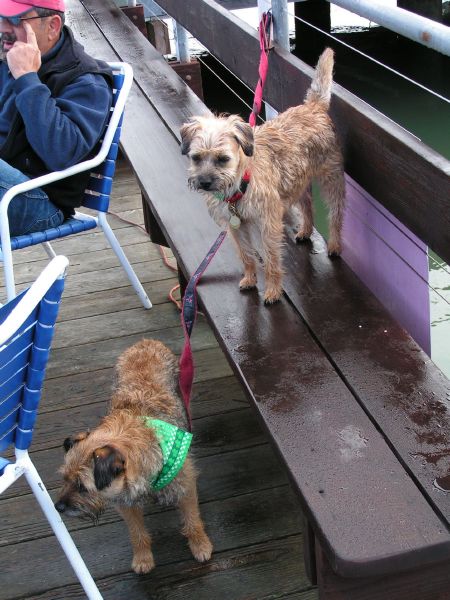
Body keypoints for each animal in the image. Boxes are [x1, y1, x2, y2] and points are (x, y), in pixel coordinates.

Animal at [54, 340, 213, 576]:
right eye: (64, 479)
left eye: (83, 487)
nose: (58, 507)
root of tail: (146, 341)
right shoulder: (125, 501)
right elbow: (137, 534)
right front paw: (142, 558)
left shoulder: (185, 488)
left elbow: (192, 520)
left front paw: (200, 545)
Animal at [179, 47, 344, 304]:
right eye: (196, 158)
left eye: (223, 159)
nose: (205, 182)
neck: (241, 182)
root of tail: (313, 106)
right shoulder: (236, 227)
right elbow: (246, 255)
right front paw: (249, 278)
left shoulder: (268, 222)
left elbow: (271, 258)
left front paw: (273, 290)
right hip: (297, 179)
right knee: (307, 204)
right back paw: (306, 230)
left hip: (331, 178)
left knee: (335, 212)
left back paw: (335, 243)